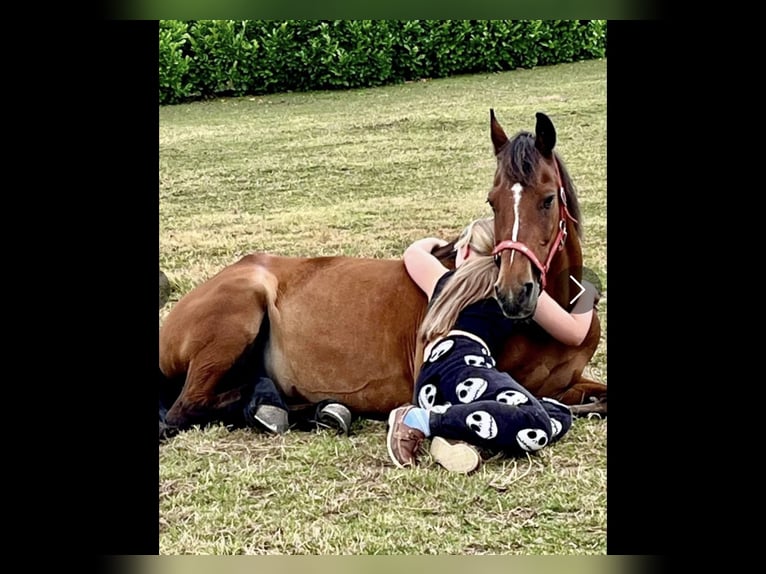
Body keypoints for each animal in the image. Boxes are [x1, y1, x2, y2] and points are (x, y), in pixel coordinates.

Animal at [159, 110, 607, 439]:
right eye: (492, 202)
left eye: (547, 199)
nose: (514, 294)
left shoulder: (569, 380)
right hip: (236, 316)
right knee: (185, 408)